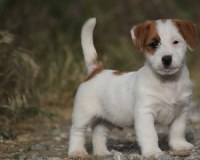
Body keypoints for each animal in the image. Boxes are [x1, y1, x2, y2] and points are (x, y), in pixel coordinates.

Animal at [67, 18, 198, 158]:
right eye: (153, 44)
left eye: (176, 42)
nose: (167, 59)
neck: (167, 81)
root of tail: (96, 71)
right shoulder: (144, 113)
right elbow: (150, 134)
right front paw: (152, 151)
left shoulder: (182, 111)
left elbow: (178, 130)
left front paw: (179, 145)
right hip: (84, 114)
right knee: (77, 131)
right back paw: (77, 151)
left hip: (109, 118)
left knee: (98, 131)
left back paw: (101, 152)